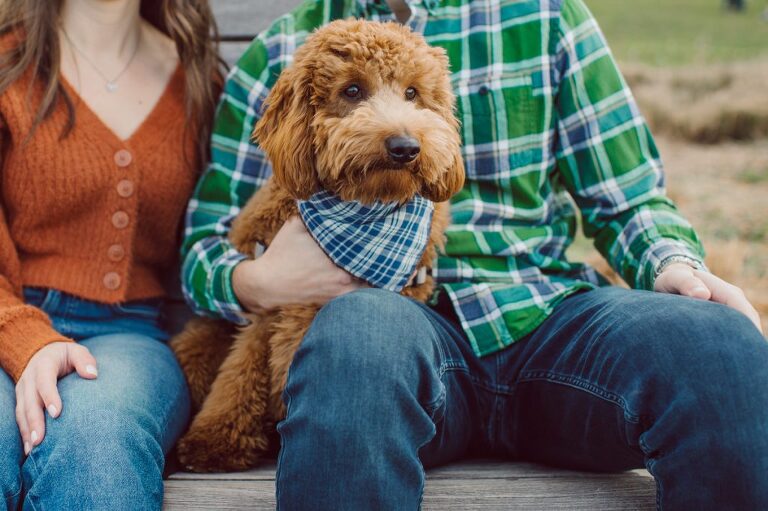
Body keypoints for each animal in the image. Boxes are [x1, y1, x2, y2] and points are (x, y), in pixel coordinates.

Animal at [171, 18, 464, 474]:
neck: (364, 209)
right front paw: (214, 439)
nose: (404, 147)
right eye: (353, 90)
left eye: (413, 93)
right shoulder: (270, 304)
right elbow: (240, 375)